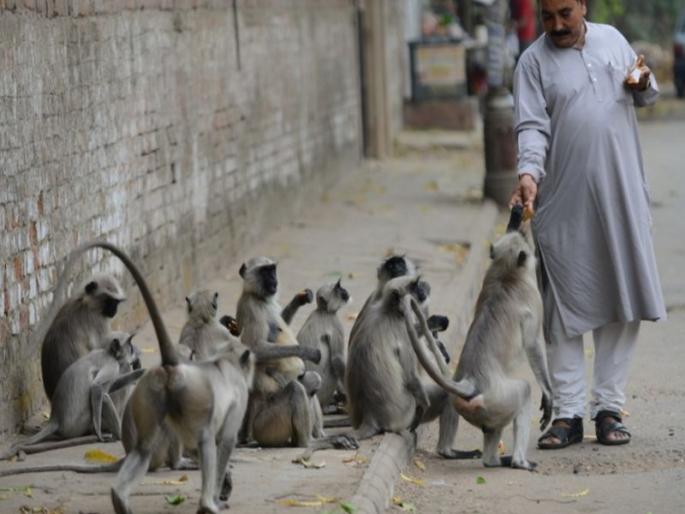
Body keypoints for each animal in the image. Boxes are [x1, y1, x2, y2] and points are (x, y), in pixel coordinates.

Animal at [1, 332, 144, 461]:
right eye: (131, 348)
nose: (135, 352)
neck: (108, 353)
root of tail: (55, 419)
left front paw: (141, 373)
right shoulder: (112, 364)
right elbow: (97, 387)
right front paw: (99, 434)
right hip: (80, 423)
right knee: (104, 398)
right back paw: (118, 435)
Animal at [345, 274, 480, 460]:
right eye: (414, 286)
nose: (423, 289)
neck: (388, 310)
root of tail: (370, 416)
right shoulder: (401, 331)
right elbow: (410, 376)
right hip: (405, 413)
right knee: (445, 396)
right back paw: (448, 452)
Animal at [415, 205, 554, 471]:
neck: (508, 275)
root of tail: (472, 382)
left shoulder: (490, 274)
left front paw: (517, 213)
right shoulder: (532, 299)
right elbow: (533, 344)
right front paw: (550, 395)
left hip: (480, 406)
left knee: (486, 431)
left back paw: (491, 460)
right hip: (501, 399)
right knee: (524, 390)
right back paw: (519, 462)